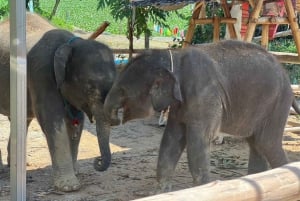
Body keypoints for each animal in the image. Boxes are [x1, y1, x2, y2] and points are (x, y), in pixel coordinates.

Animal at [0, 13, 117, 190]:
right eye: (89, 89)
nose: (97, 161)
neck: (70, 43)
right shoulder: (41, 73)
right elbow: (52, 119)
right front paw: (69, 186)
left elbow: (76, 121)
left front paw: (75, 174)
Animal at [103, 39, 300, 192]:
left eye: (122, 91)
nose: (115, 116)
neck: (175, 57)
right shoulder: (180, 104)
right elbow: (171, 140)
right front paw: (160, 193)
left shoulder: (205, 96)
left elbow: (197, 143)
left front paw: (203, 189)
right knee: (256, 143)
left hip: (277, 103)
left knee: (267, 142)